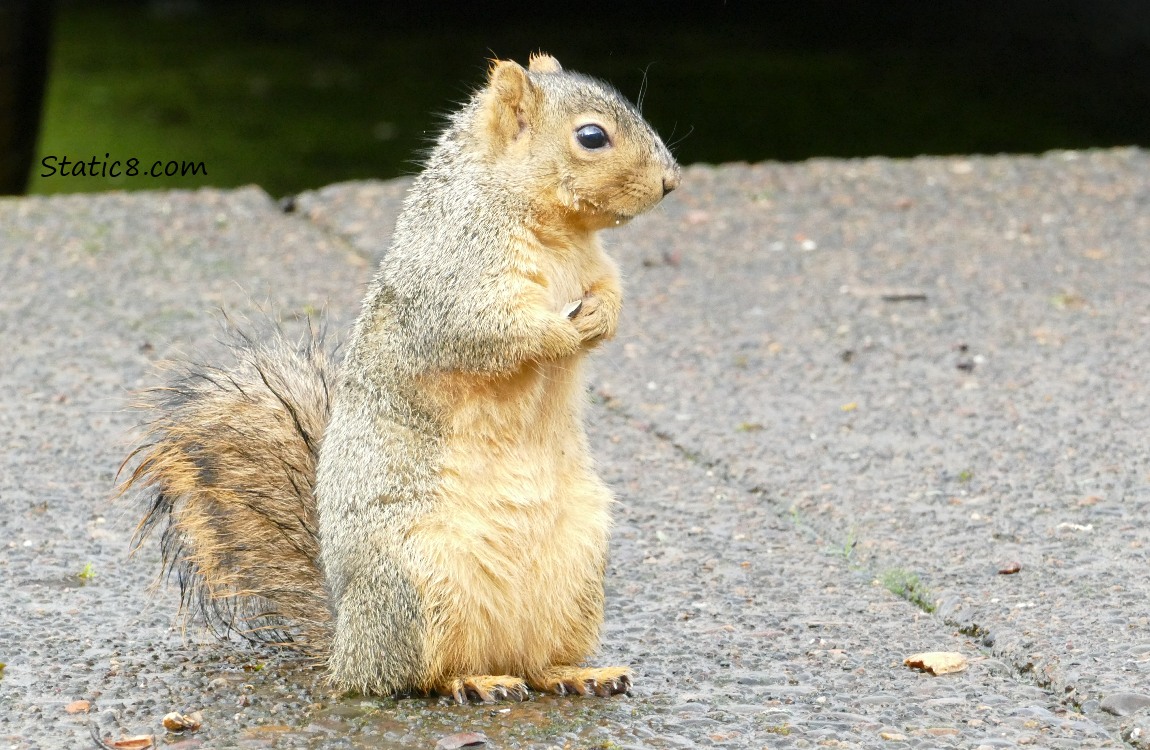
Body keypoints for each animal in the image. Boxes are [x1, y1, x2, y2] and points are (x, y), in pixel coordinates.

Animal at [123, 52, 680, 703]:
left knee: (537, 662)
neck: (554, 228)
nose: (671, 182)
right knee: (419, 676)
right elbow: (491, 334)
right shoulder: (453, 282)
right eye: (591, 136)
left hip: (577, 572)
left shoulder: (596, 267)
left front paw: (601, 317)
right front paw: (563, 335)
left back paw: (576, 672)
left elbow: (610, 292)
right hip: (419, 582)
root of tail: (346, 647)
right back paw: (474, 681)